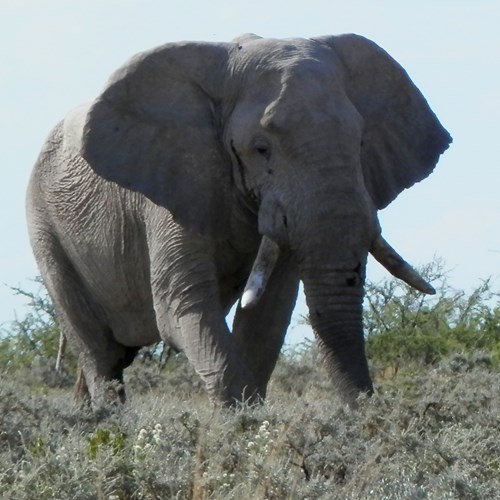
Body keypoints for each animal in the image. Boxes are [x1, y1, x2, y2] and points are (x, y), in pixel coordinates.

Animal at [25, 32, 452, 406]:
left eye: (361, 142)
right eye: (261, 149)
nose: (366, 416)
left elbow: (267, 317)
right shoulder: (176, 182)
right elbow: (184, 308)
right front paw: (243, 429)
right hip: (44, 227)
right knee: (100, 354)